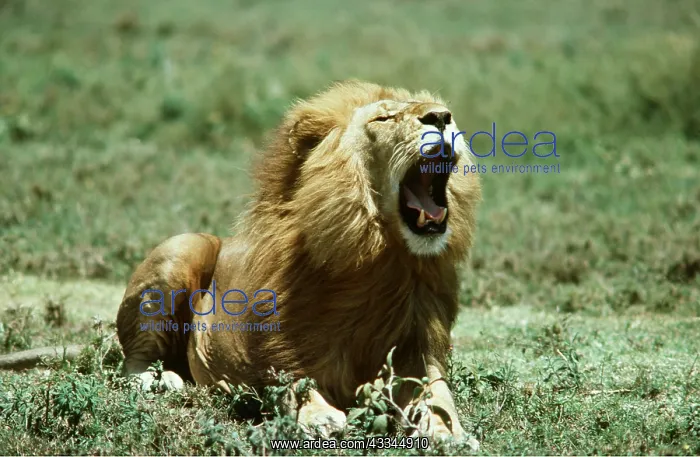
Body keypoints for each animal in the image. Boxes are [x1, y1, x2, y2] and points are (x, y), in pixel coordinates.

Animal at [0, 80, 481, 449]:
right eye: (384, 119)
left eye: (436, 109)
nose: (442, 117)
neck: (377, 260)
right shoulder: (278, 345)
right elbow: (295, 381)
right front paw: (319, 417)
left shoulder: (420, 344)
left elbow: (438, 394)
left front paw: (450, 432)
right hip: (182, 248)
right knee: (131, 364)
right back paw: (162, 381)